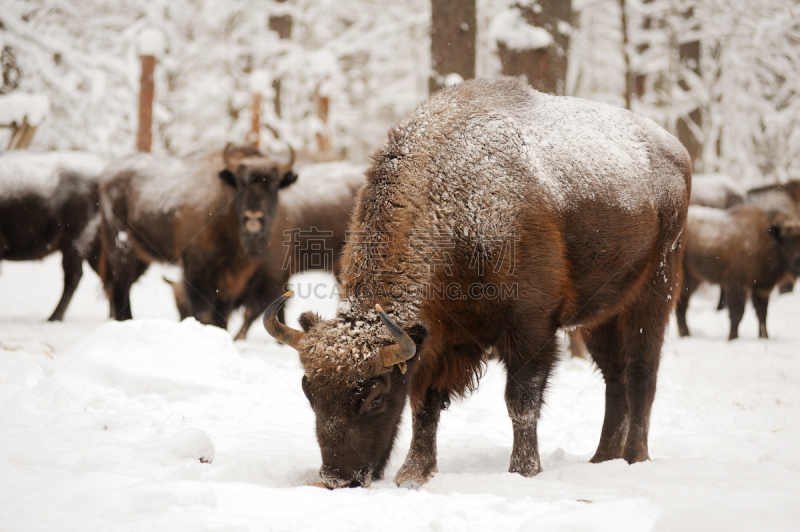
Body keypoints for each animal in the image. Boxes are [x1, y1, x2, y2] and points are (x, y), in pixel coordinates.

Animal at [99, 143, 296, 322]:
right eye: (240, 183)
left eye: (274, 183)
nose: (253, 216)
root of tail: (107, 175)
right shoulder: (196, 270)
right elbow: (201, 310)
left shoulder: (231, 278)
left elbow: (221, 312)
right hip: (122, 248)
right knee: (120, 285)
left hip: (140, 256)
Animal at [260, 77, 692, 488]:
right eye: (309, 391)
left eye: (376, 397)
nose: (337, 478)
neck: (455, 206)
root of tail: (678, 151)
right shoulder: (441, 339)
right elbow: (425, 404)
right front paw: (413, 474)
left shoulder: (530, 329)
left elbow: (521, 402)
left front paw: (523, 471)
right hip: (598, 317)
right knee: (613, 377)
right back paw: (602, 458)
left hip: (653, 296)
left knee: (641, 375)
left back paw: (634, 457)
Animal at [676, 205, 800, 340]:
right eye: (787, 239)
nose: (797, 262)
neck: (767, 238)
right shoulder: (737, 285)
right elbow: (737, 313)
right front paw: (732, 338)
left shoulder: (761, 288)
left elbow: (762, 313)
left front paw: (764, 337)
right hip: (687, 280)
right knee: (681, 305)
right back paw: (685, 334)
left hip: (694, 279)